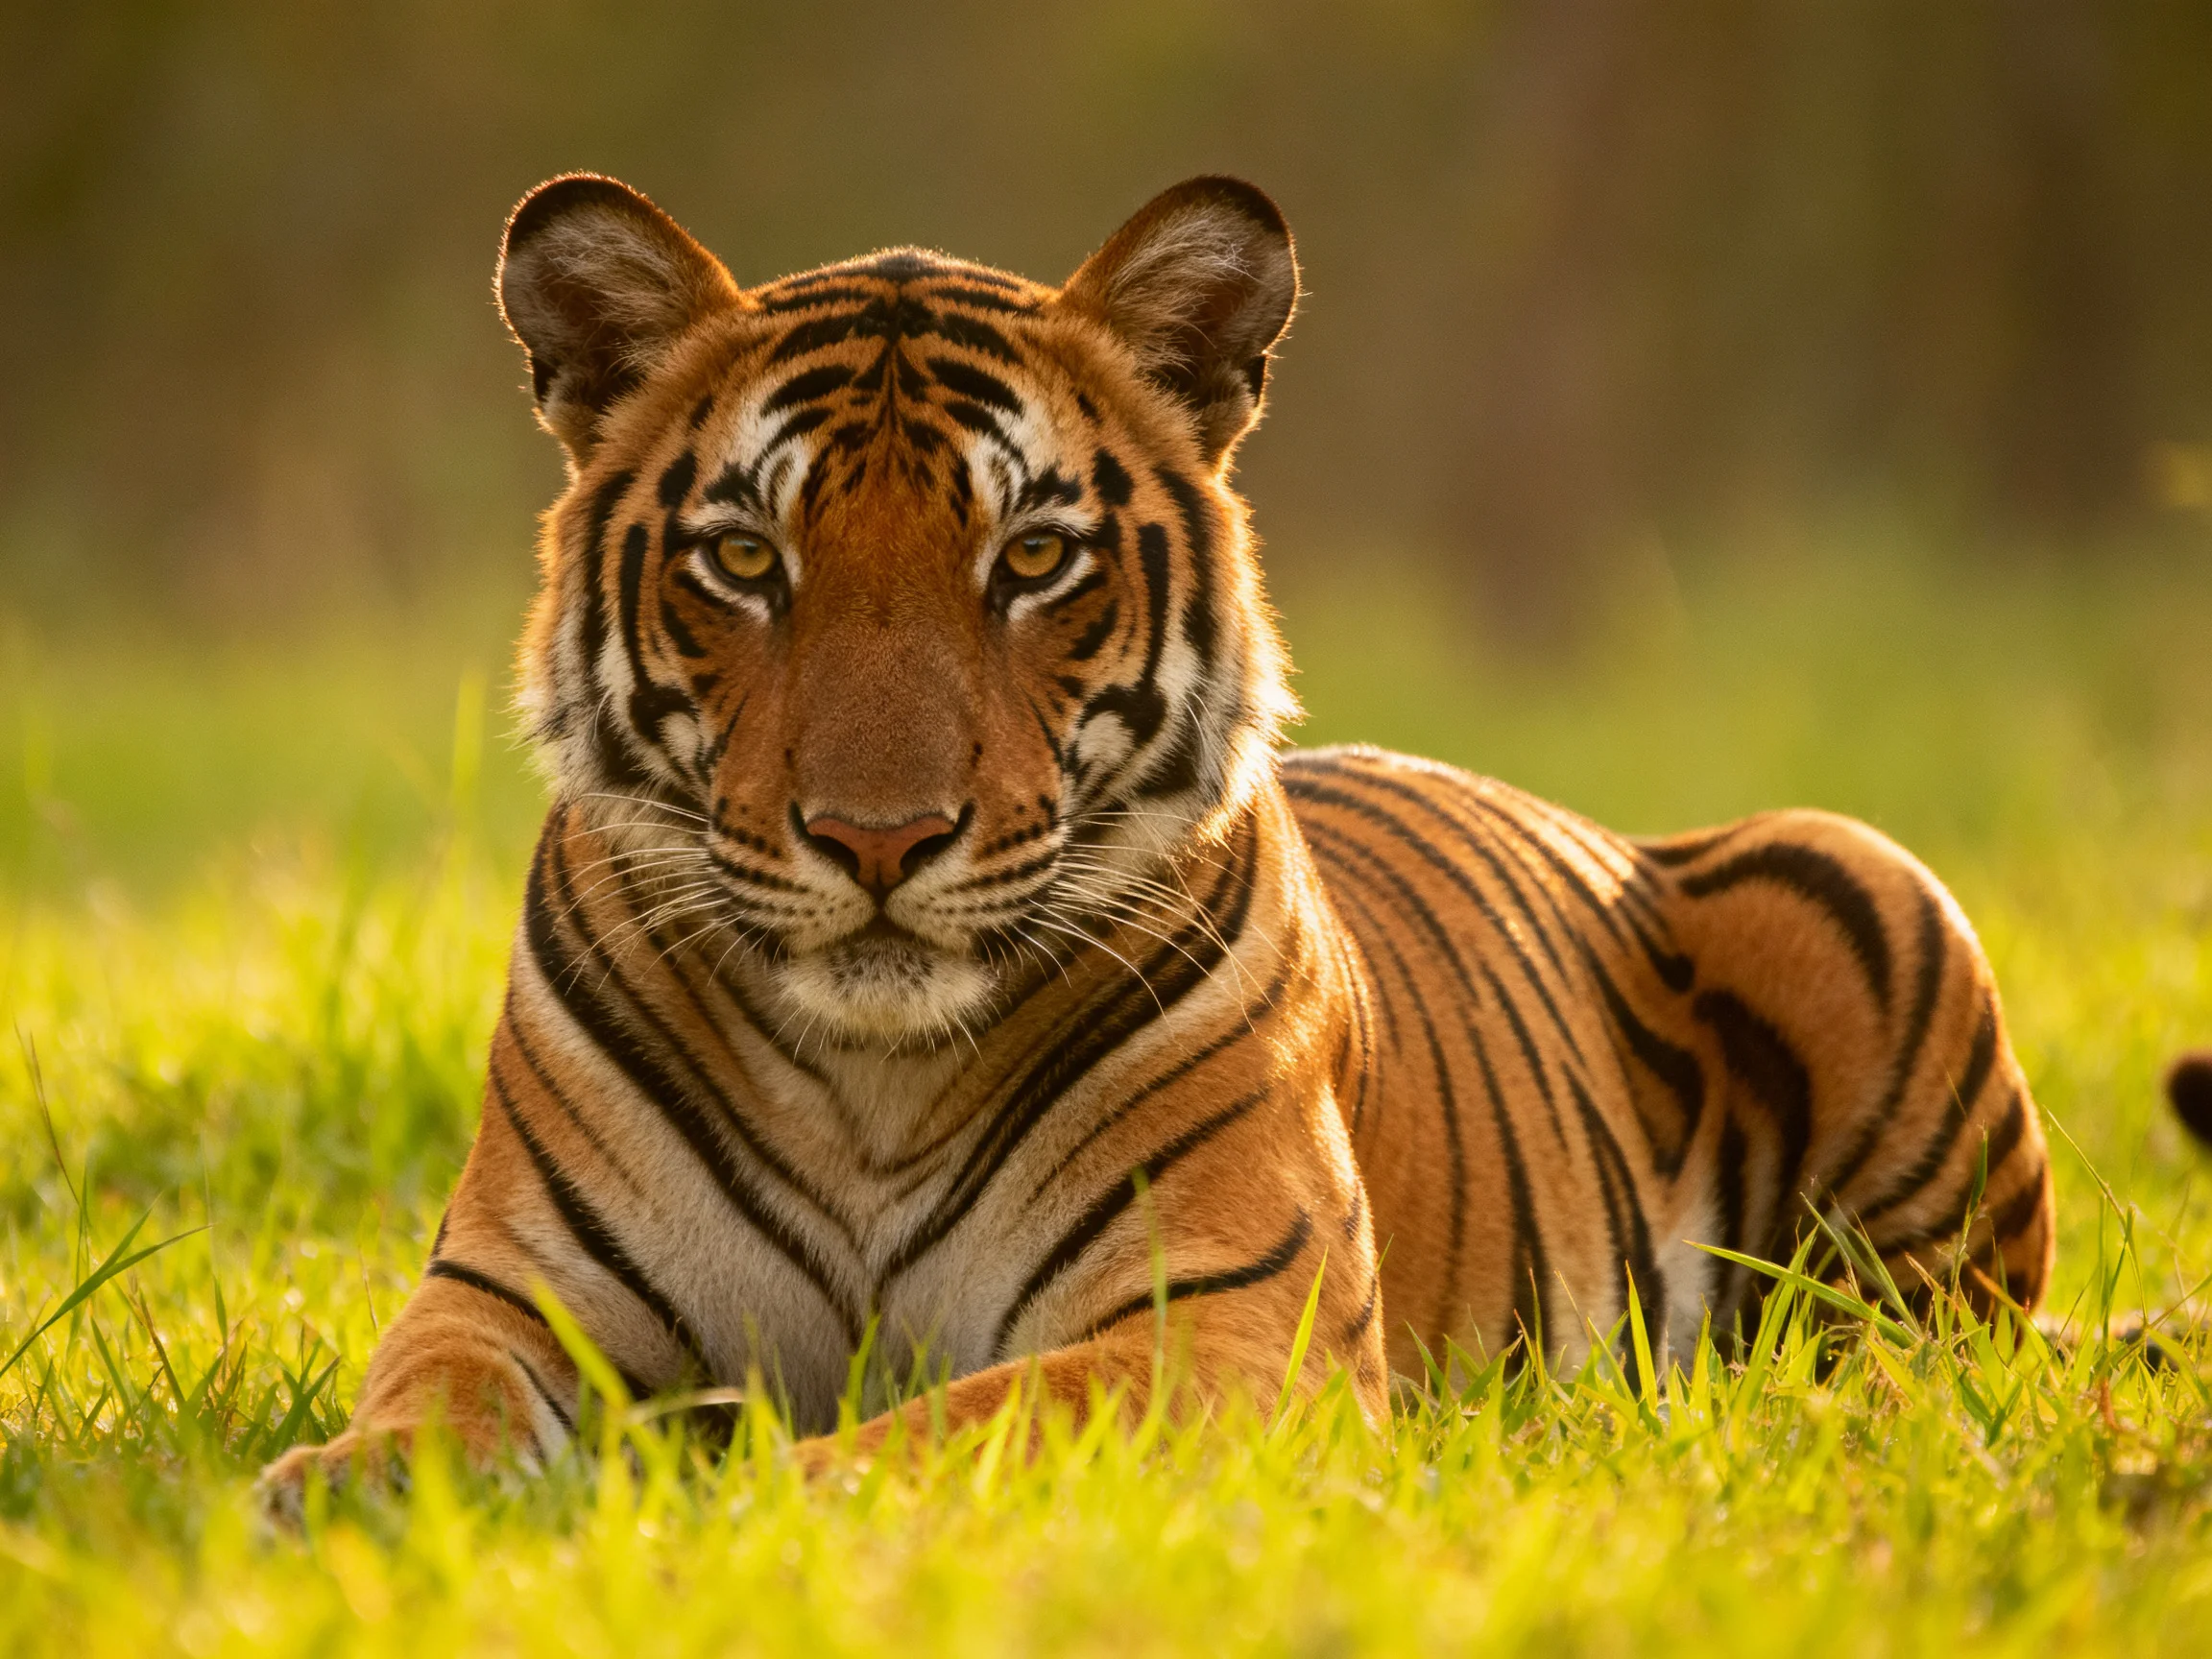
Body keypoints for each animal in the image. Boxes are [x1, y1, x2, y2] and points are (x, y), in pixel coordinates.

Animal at [260, 173, 2055, 1506]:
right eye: (746, 557)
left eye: (1033, 558)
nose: (877, 839)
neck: (867, 1080)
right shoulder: (514, 1287)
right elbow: (435, 1398)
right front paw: (342, 1486)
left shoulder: (1217, 1322)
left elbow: (939, 1432)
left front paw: (745, 1498)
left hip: (1864, 886)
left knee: (1933, 1348)